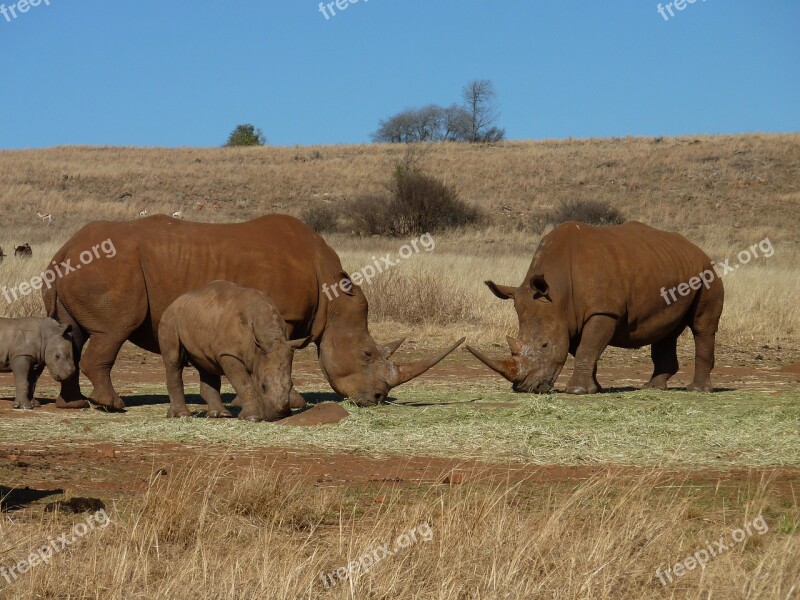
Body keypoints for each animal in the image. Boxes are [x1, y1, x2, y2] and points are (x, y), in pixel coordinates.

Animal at [157, 282, 310, 422]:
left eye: (291, 385)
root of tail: (177, 300)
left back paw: (219, 415)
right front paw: (252, 418)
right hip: (169, 318)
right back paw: (180, 415)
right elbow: (244, 383)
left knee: (206, 364)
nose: (280, 416)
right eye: (263, 386)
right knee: (173, 361)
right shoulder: (229, 354)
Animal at [468, 220, 724, 394]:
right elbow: (585, 348)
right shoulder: (570, 317)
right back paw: (652, 387)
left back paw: (697, 390)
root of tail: (698, 249)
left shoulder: (603, 311)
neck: (557, 292)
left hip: (705, 273)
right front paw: (595, 388)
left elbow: (588, 347)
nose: (524, 387)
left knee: (702, 327)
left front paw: (577, 391)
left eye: (544, 345)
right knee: (665, 330)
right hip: (670, 267)